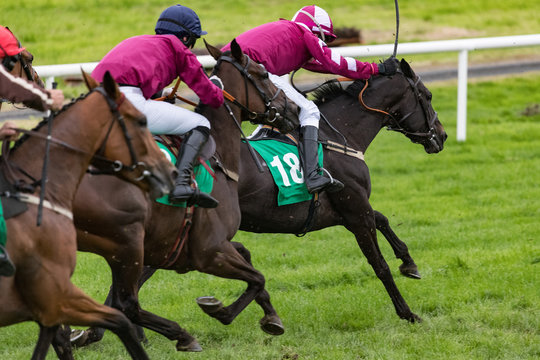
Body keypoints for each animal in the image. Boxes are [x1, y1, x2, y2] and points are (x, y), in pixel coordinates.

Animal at [66, 38, 300, 352]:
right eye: (263, 73)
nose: (293, 110)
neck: (217, 157)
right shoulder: (209, 251)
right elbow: (257, 277)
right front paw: (220, 309)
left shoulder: (204, 246)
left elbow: (249, 260)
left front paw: (271, 316)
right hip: (126, 245)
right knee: (127, 304)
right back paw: (181, 335)